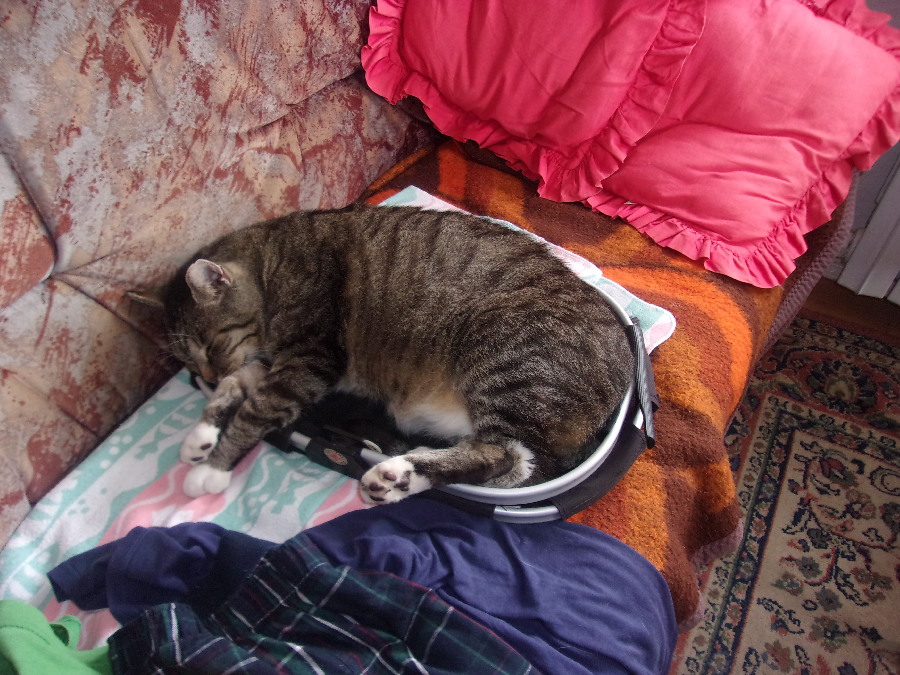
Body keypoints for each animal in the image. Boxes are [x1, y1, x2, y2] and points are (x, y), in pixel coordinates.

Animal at [154, 204, 635, 503]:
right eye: (189, 361)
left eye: (209, 345)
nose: (205, 376)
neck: (273, 259)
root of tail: (625, 372)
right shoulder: (275, 363)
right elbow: (238, 387)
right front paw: (202, 435)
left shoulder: (308, 362)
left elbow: (254, 412)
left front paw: (213, 467)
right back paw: (401, 476)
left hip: (508, 358)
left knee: (510, 459)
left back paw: (399, 472)